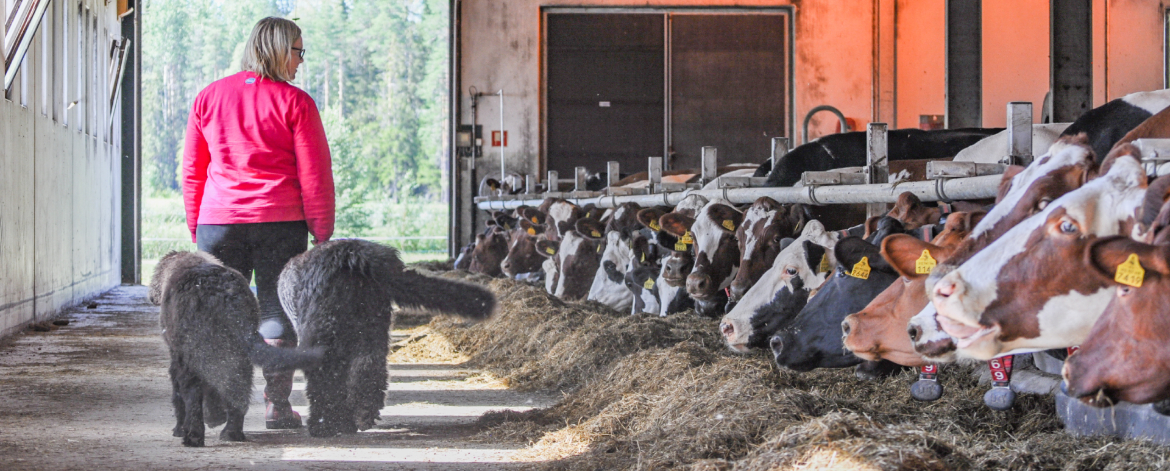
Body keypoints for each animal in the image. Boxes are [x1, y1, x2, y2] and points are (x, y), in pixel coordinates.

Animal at [148, 252, 320, 448]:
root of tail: (224, 296)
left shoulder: (177, 359)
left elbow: (179, 398)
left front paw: (180, 428)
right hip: (239, 358)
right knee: (237, 393)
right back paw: (231, 432)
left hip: (194, 358)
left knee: (193, 397)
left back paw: (193, 436)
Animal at [280, 239, 496, 439]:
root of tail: (352, 254)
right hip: (372, 330)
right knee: (368, 370)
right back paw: (362, 415)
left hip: (327, 338)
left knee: (324, 382)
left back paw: (322, 425)